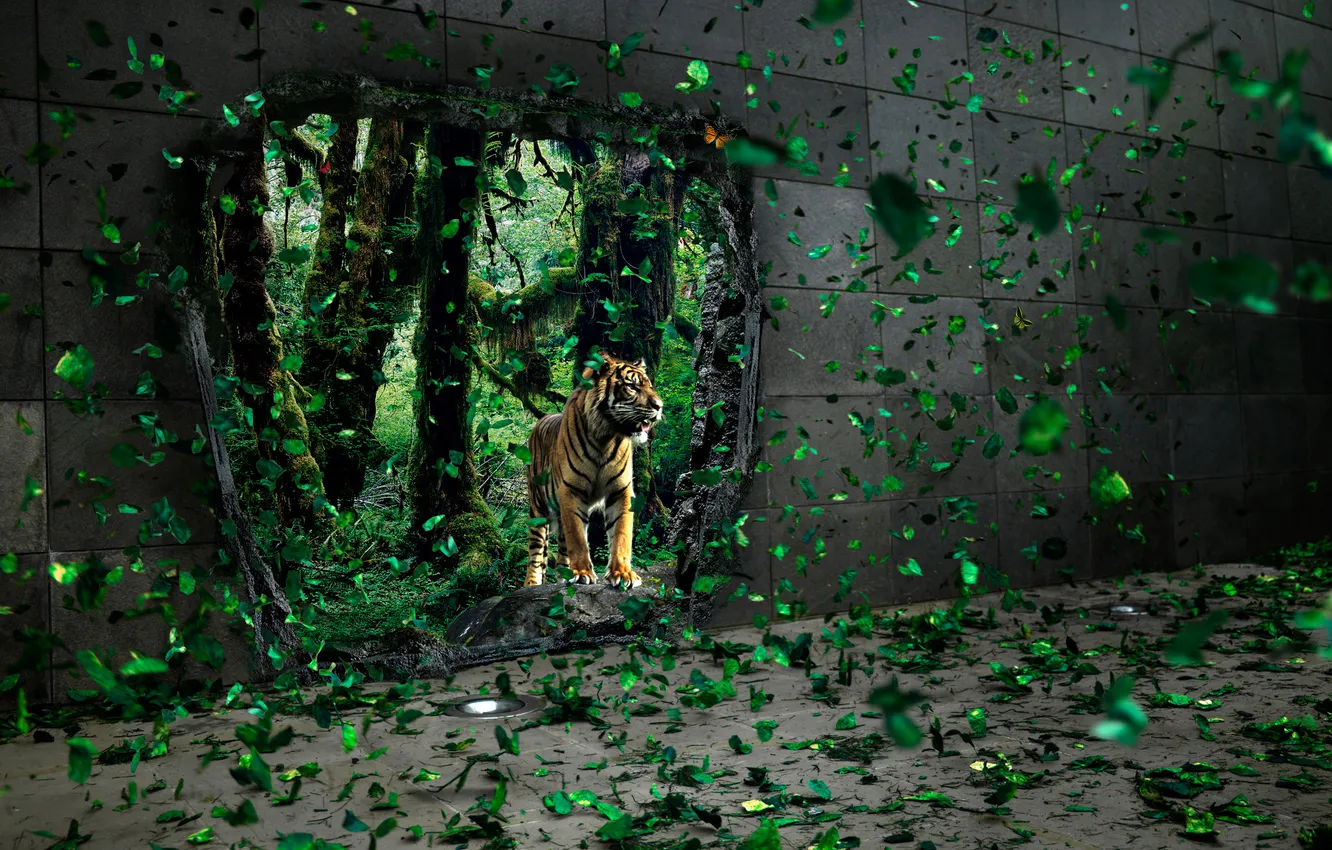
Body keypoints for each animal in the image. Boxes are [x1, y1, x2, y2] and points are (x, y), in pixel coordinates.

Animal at [524, 352, 664, 589]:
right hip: (538, 509)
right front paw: (582, 572)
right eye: (632, 386)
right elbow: (578, 538)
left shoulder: (621, 491)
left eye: (649, 386)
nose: (660, 406)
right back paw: (532, 585)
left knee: (561, 550)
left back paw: (563, 576)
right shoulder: (571, 490)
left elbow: (621, 534)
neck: (605, 436)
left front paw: (623, 574)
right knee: (536, 554)